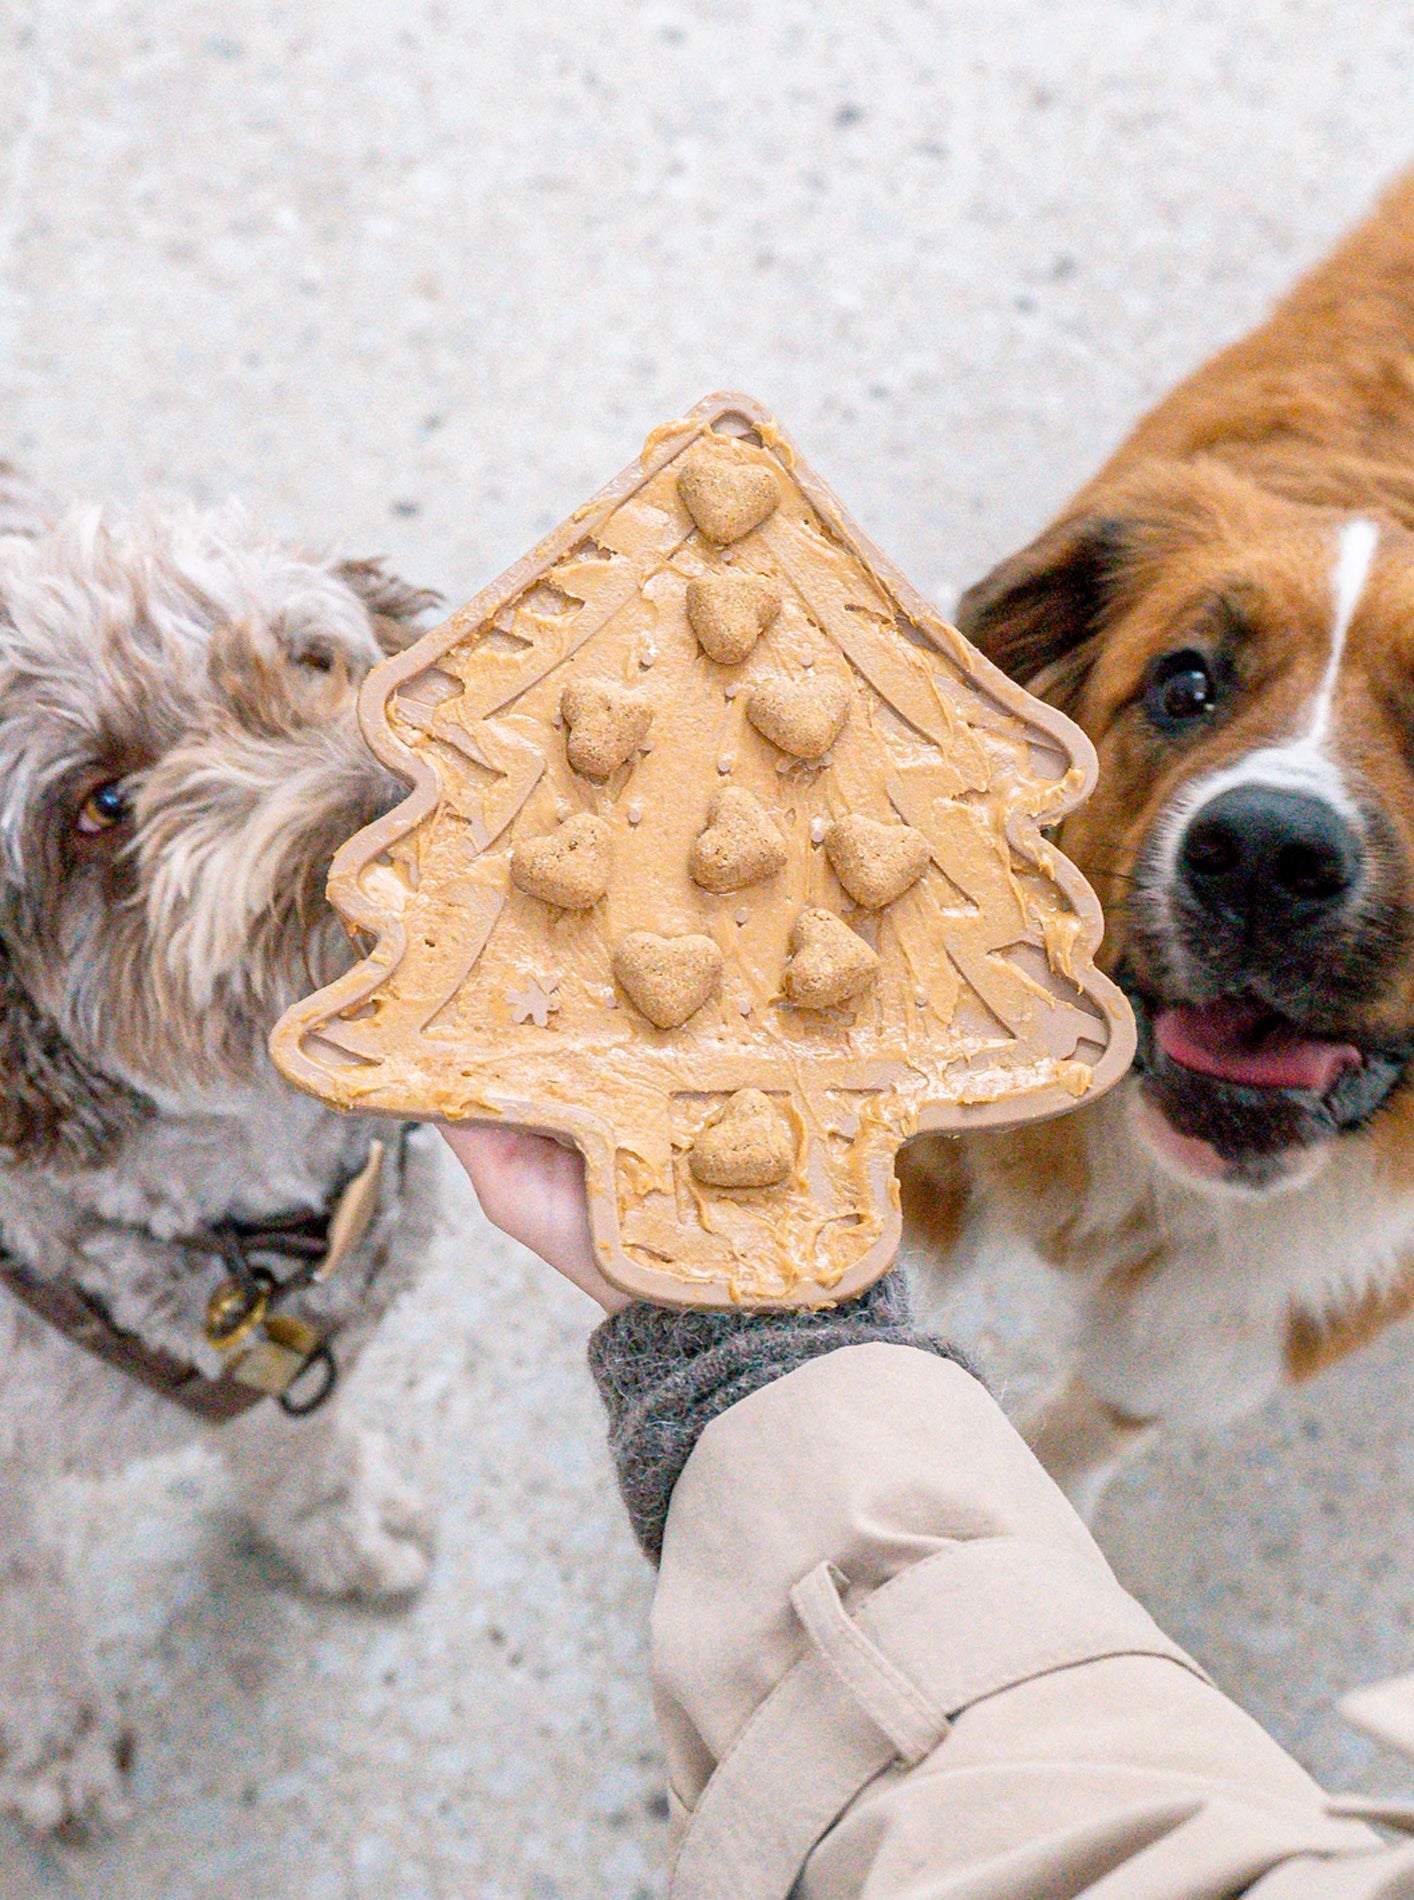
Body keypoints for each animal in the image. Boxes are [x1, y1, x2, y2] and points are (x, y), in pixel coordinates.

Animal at [0, 463, 440, 1839]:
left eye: (312, 659)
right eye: (103, 805)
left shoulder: (311, 1344)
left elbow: (299, 1446)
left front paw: (340, 1525)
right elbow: (26, 1625)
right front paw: (54, 1749)